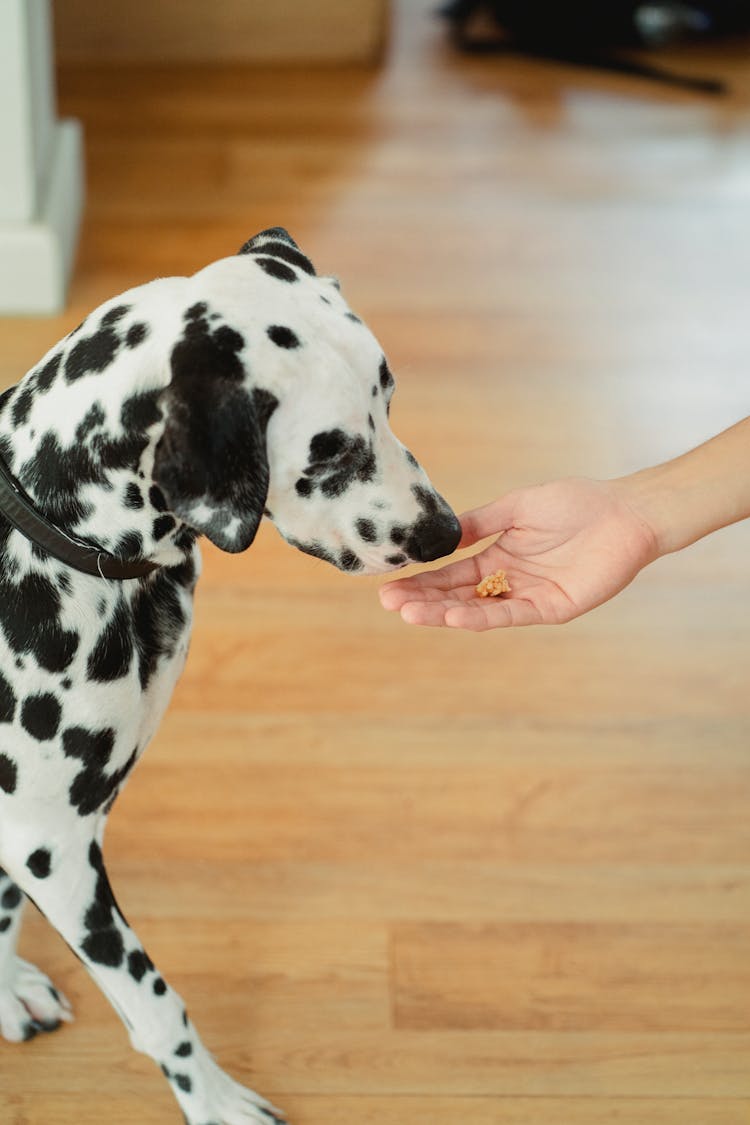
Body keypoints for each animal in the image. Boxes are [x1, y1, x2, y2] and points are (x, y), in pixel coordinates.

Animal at [0, 228, 463, 1125]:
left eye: (388, 395)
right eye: (329, 449)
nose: (444, 532)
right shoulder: (51, 845)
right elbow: (158, 1005)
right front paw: (213, 1100)